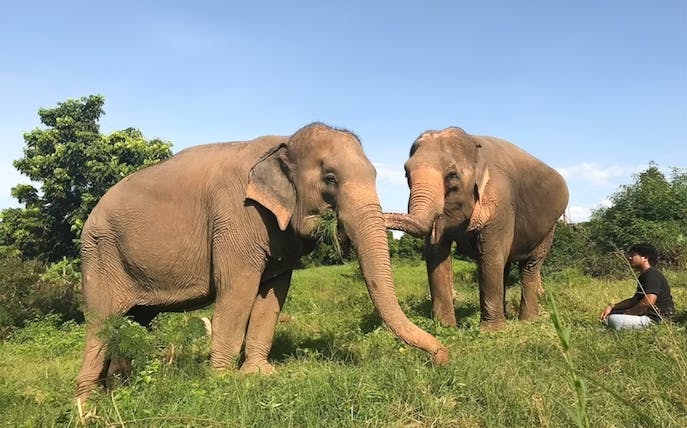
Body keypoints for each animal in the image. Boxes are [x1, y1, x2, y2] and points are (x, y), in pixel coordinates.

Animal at [75, 122, 448, 400]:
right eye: (329, 179)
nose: (442, 358)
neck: (283, 143)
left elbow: (272, 293)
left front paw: (260, 373)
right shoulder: (236, 217)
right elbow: (238, 290)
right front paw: (224, 382)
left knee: (133, 321)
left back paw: (123, 388)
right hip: (99, 254)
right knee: (101, 323)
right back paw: (89, 404)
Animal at [385, 127, 569, 330]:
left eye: (452, 175)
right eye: (406, 174)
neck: (474, 147)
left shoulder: (500, 197)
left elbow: (490, 254)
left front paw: (491, 332)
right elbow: (436, 253)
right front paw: (446, 328)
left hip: (549, 229)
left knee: (529, 266)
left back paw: (528, 321)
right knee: (505, 266)